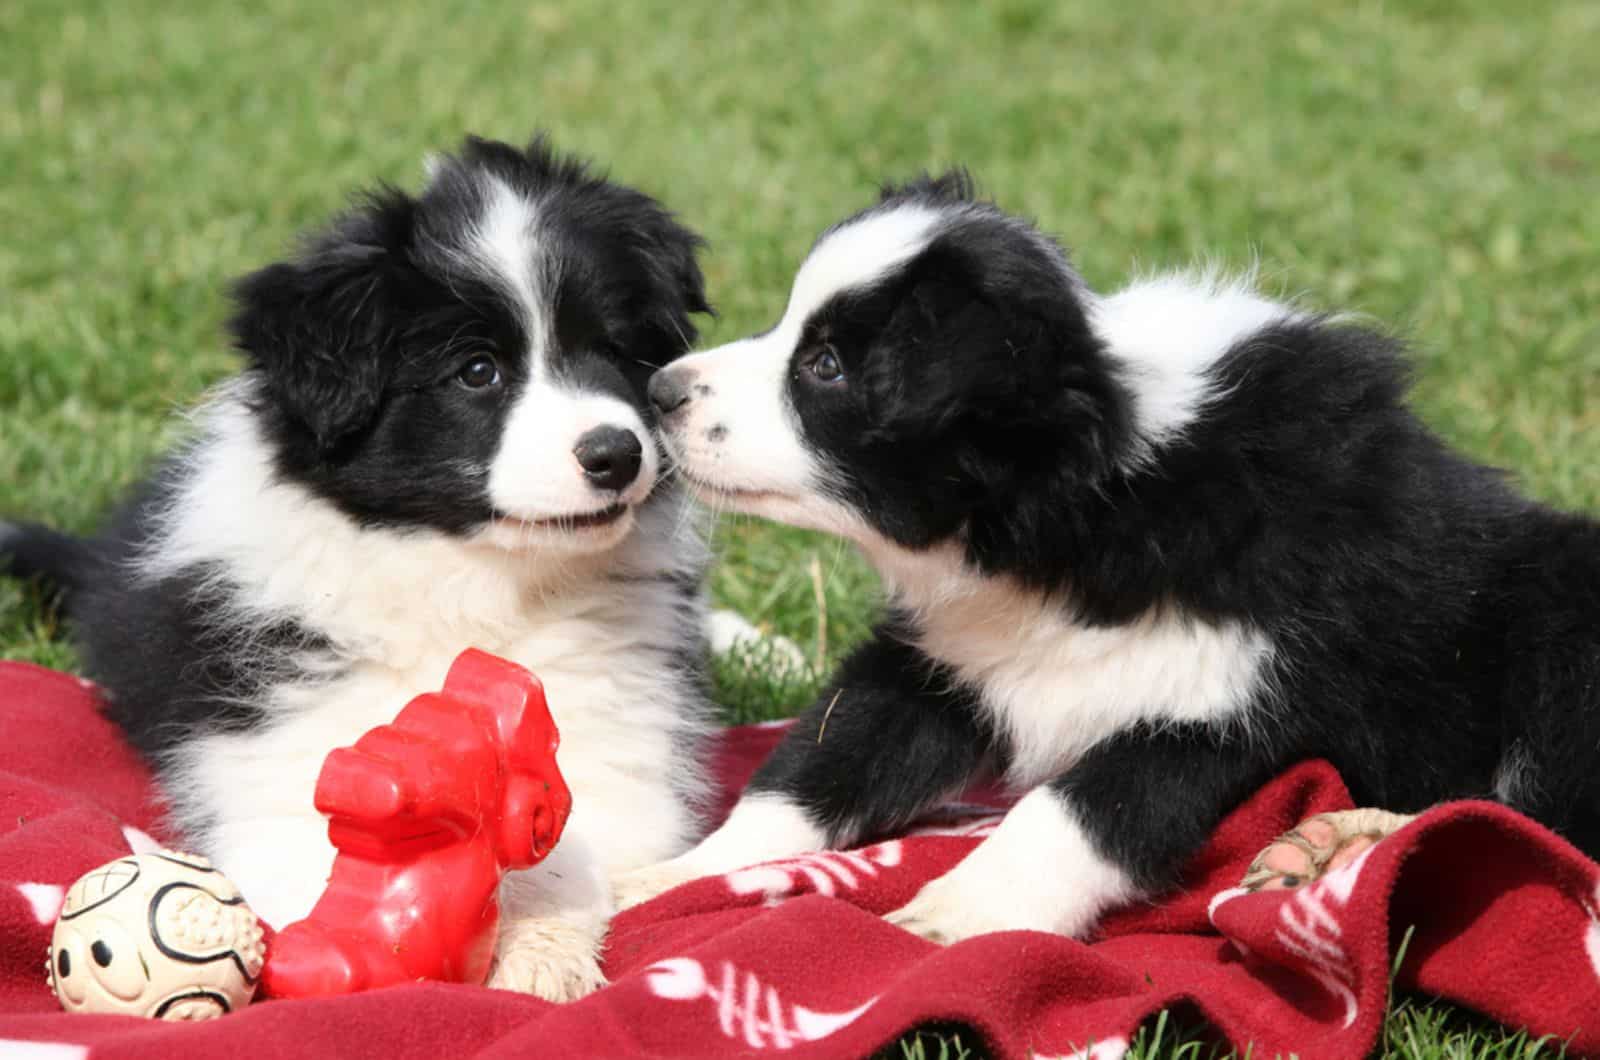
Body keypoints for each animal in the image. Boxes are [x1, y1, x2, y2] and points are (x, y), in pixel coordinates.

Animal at [0, 136, 713, 999]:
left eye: (614, 348)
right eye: (477, 371)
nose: (616, 454)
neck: (476, 583)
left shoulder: (623, 752)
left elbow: (568, 841)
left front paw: (541, 961)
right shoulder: (277, 760)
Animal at [614, 174, 1600, 947]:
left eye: (826, 367)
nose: (661, 392)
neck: (1096, 501)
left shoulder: (1230, 700)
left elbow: (1080, 808)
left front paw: (957, 915)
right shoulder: (947, 656)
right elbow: (819, 759)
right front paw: (675, 876)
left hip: (1562, 633)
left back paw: (1343, 845)